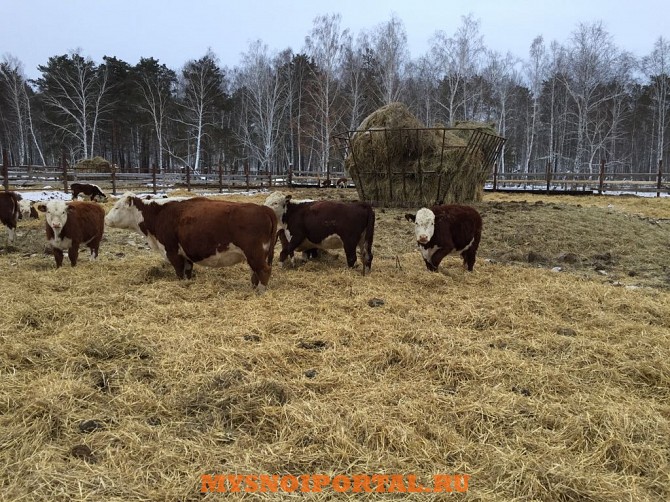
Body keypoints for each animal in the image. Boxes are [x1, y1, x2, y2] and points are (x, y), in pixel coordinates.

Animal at [105, 193, 278, 292]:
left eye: (117, 207)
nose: (105, 219)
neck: (159, 213)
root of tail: (263, 209)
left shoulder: (172, 251)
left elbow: (180, 273)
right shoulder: (185, 255)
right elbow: (187, 272)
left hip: (255, 252)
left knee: (264, 270)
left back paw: (260, 291)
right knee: (256, 272)